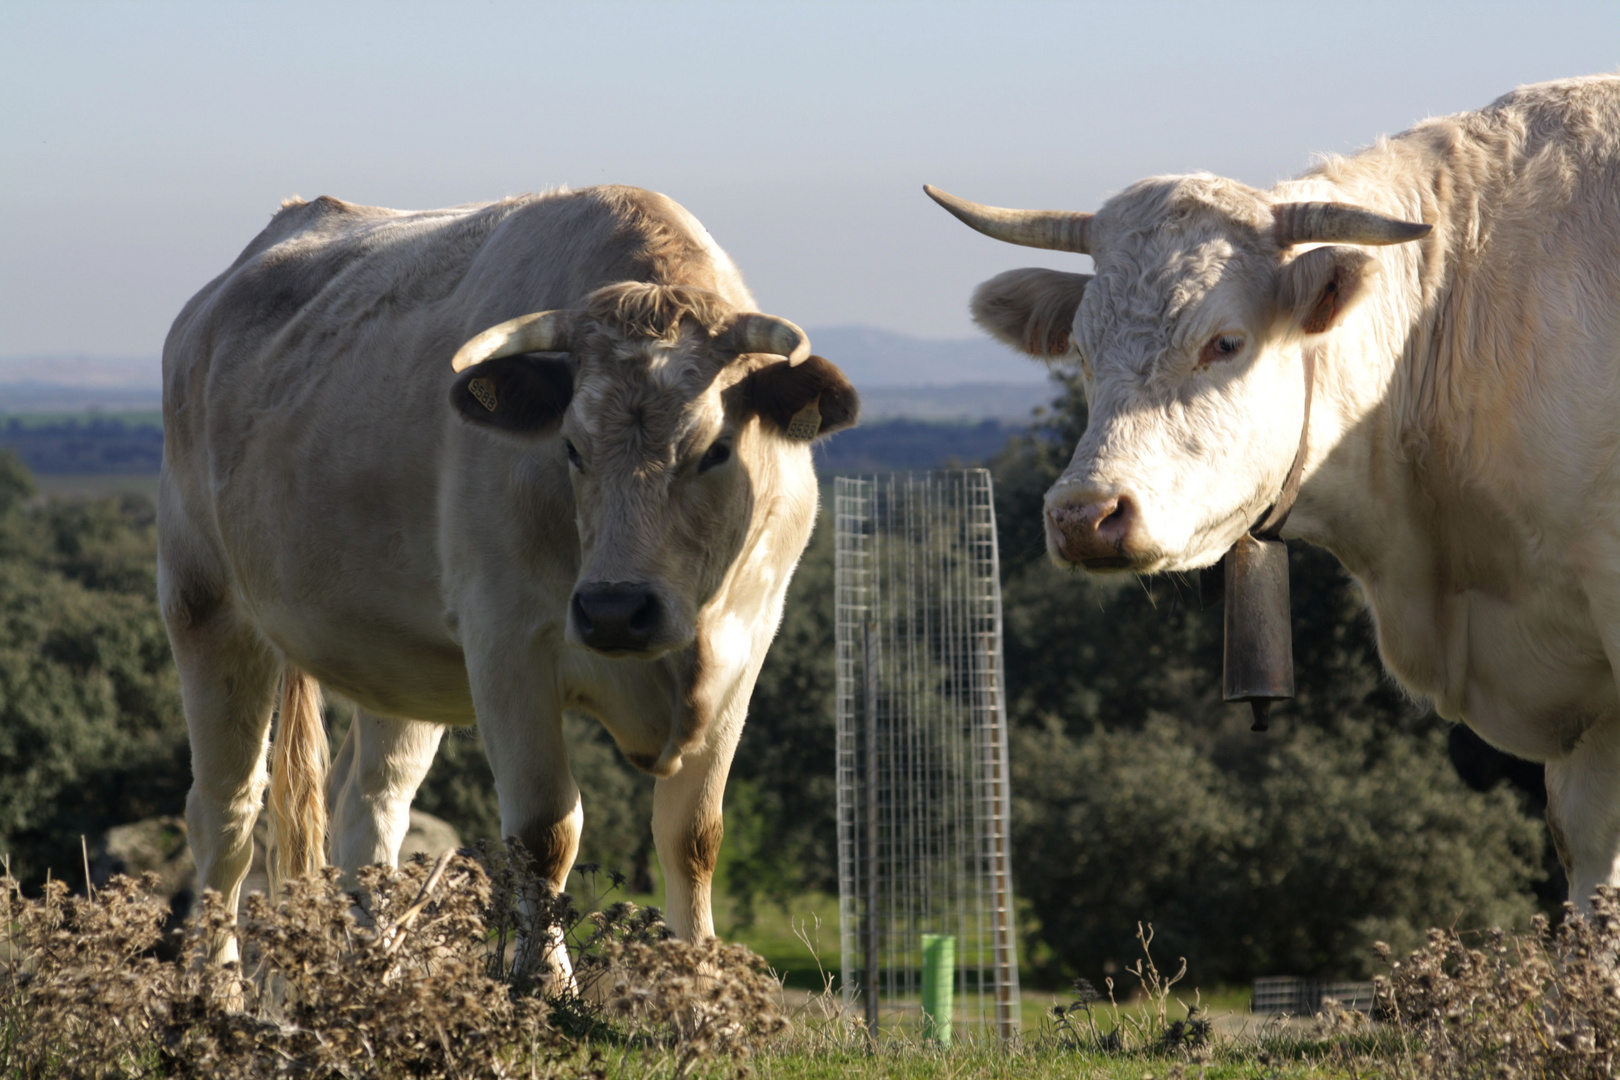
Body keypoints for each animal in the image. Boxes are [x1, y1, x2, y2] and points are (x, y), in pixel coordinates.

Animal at [161, 183, 861, 971]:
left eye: (716, 449)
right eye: (571, 447)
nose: (615, 610)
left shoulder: (746, 644)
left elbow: (693, 837)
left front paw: (700, 984)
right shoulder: (506, 645)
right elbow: (544, 833)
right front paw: (546, 983)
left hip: (397, 663)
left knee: (367, 804)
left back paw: (378, 974)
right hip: (204, 604)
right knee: (226, 817)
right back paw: (218, 985)